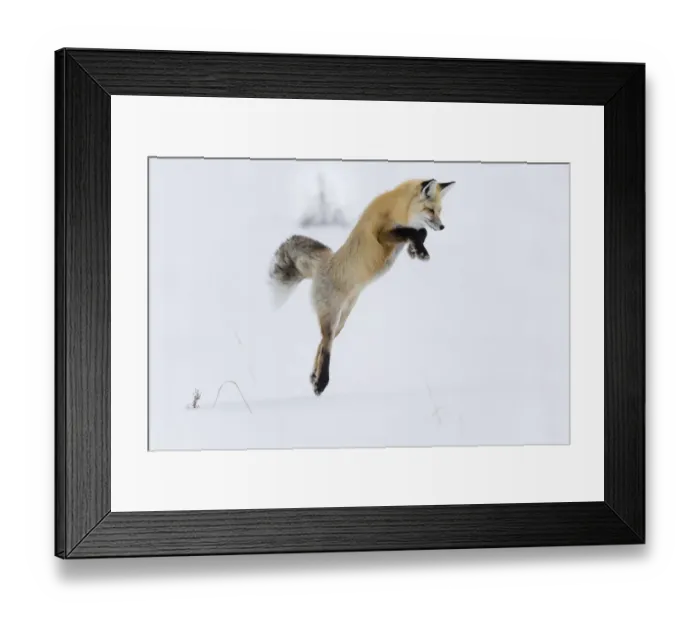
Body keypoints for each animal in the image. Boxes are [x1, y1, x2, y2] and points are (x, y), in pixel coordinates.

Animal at [268, 178, 455, 396]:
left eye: (440, 210)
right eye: (429, 210)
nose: (442, 226)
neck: (399, 208)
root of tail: (324, 262)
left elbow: (420, 232)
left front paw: (416, 250)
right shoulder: (382, 235)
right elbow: (415, 231)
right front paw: (419, 250)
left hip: (341, 320)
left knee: (322, 344)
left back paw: (314, 378)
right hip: (332, 318)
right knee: (326, 346)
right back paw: (321, 382)